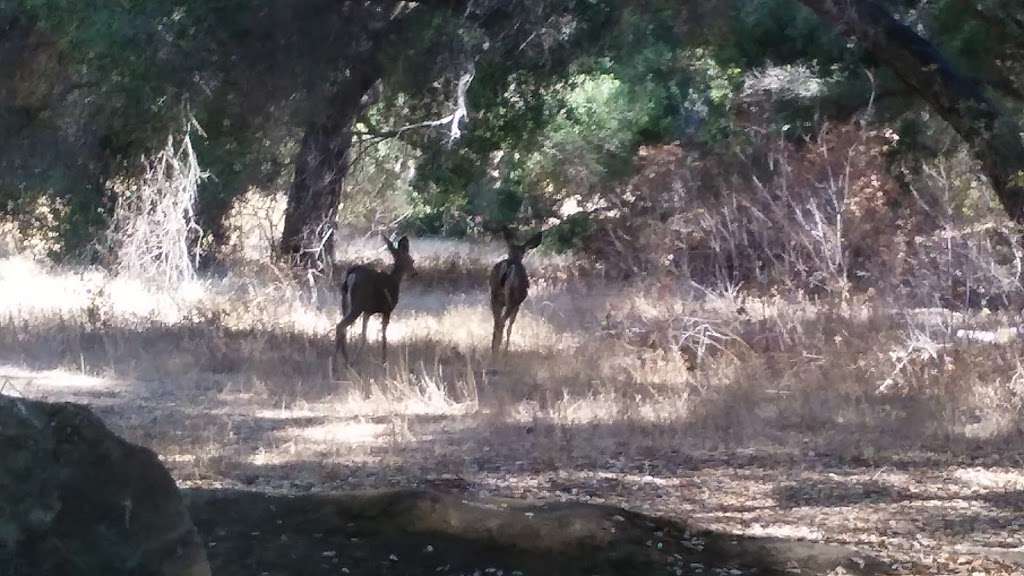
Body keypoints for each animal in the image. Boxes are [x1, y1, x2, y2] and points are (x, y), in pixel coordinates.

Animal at [335, 234, 415, 364]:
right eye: (412, 260)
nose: (414, 273)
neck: (394, 280)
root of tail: (352, 276)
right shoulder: (387, 309)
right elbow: (384, 334)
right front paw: (384, 360)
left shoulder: (367, 312)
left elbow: (363, 335)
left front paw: (357, 358)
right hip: (357, 305)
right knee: (340, 326)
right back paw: (338, 362)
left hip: (345, 303)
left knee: (343, 328)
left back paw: (346, 360)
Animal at [489, 225, 544, 354]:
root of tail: (509, 266)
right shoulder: (518, 304)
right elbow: (511, 326)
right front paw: (506, 350)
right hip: (512, 299)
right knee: (502, 323)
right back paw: (500, 351)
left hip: (494, 295)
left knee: (496, 322)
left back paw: (493, 348)